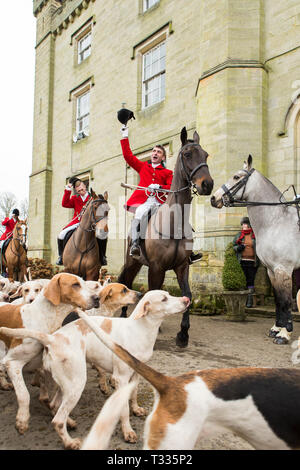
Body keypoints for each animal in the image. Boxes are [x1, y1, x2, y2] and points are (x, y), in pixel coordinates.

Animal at [118, 126, 214, 346]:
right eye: (187, 154)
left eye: (205, 154)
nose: (207, 184)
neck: (174, 223)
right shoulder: (156, 267)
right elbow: (152, 292)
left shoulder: (182, 266)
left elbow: (187, 295)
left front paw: (183, 333)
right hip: (132, 261)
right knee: (127, 281)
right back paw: (124, 314)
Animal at [211, 156, 300, 344]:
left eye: (236, 177)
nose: (214, 198)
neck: (276, 222)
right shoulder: (272, 271)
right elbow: (279, 301)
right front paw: (276, 328)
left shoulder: (283, 270)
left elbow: (286, 301)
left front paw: (284, 333)